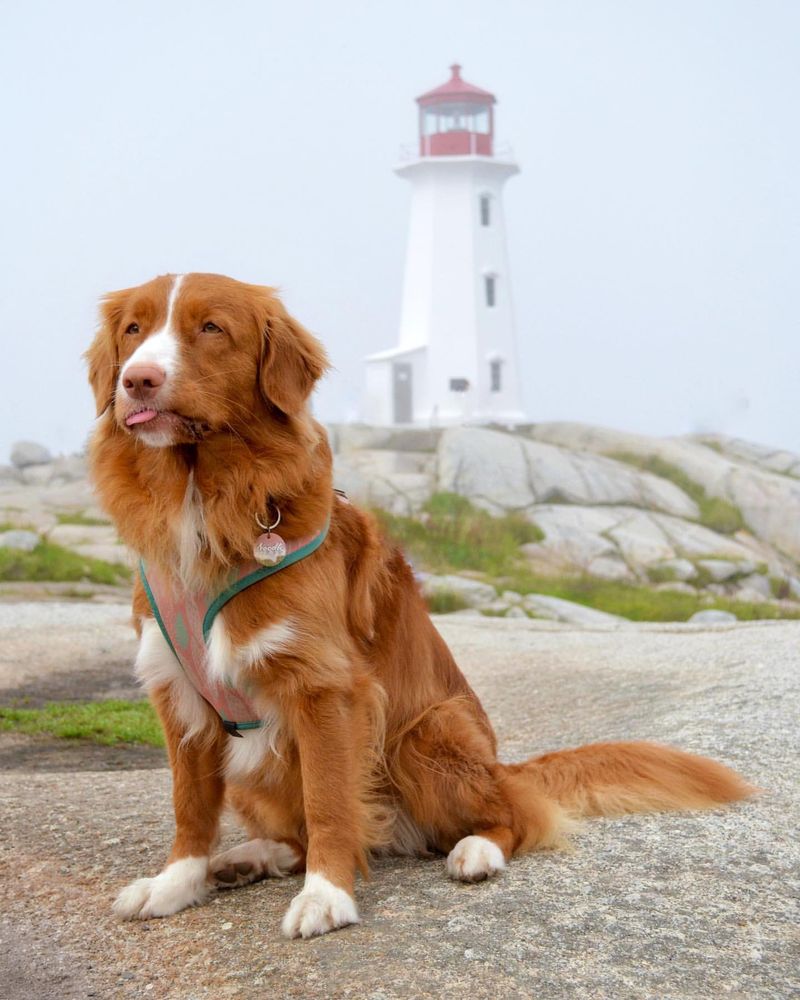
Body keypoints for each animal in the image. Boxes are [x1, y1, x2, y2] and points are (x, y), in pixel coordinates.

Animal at [84, 272, 752, 936]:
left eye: (211, 328)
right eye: (134, 329)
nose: (137, 379)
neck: (204, 501)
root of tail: (501, 767)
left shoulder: (327, 689)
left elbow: (329, 803)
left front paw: (326, 895)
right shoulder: (179, 694)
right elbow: (191, 808)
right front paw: (175, 884)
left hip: (424, 733)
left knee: (516, 814)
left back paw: (476, 850)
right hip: (260, 766)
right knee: (299, 831)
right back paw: (254, 856)